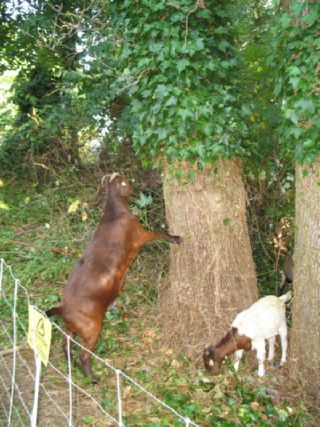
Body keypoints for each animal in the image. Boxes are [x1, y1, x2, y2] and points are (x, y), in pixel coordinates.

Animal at [46, 174, 181, 384]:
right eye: (125, 180)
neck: (114, 213)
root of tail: (62, 309)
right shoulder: (140, 235)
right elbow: (158, 233)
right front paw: (175, 238)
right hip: (91, 329)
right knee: (84, 353)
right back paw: (92, 377)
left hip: (71, 328)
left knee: (66, 345)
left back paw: (72, 366)